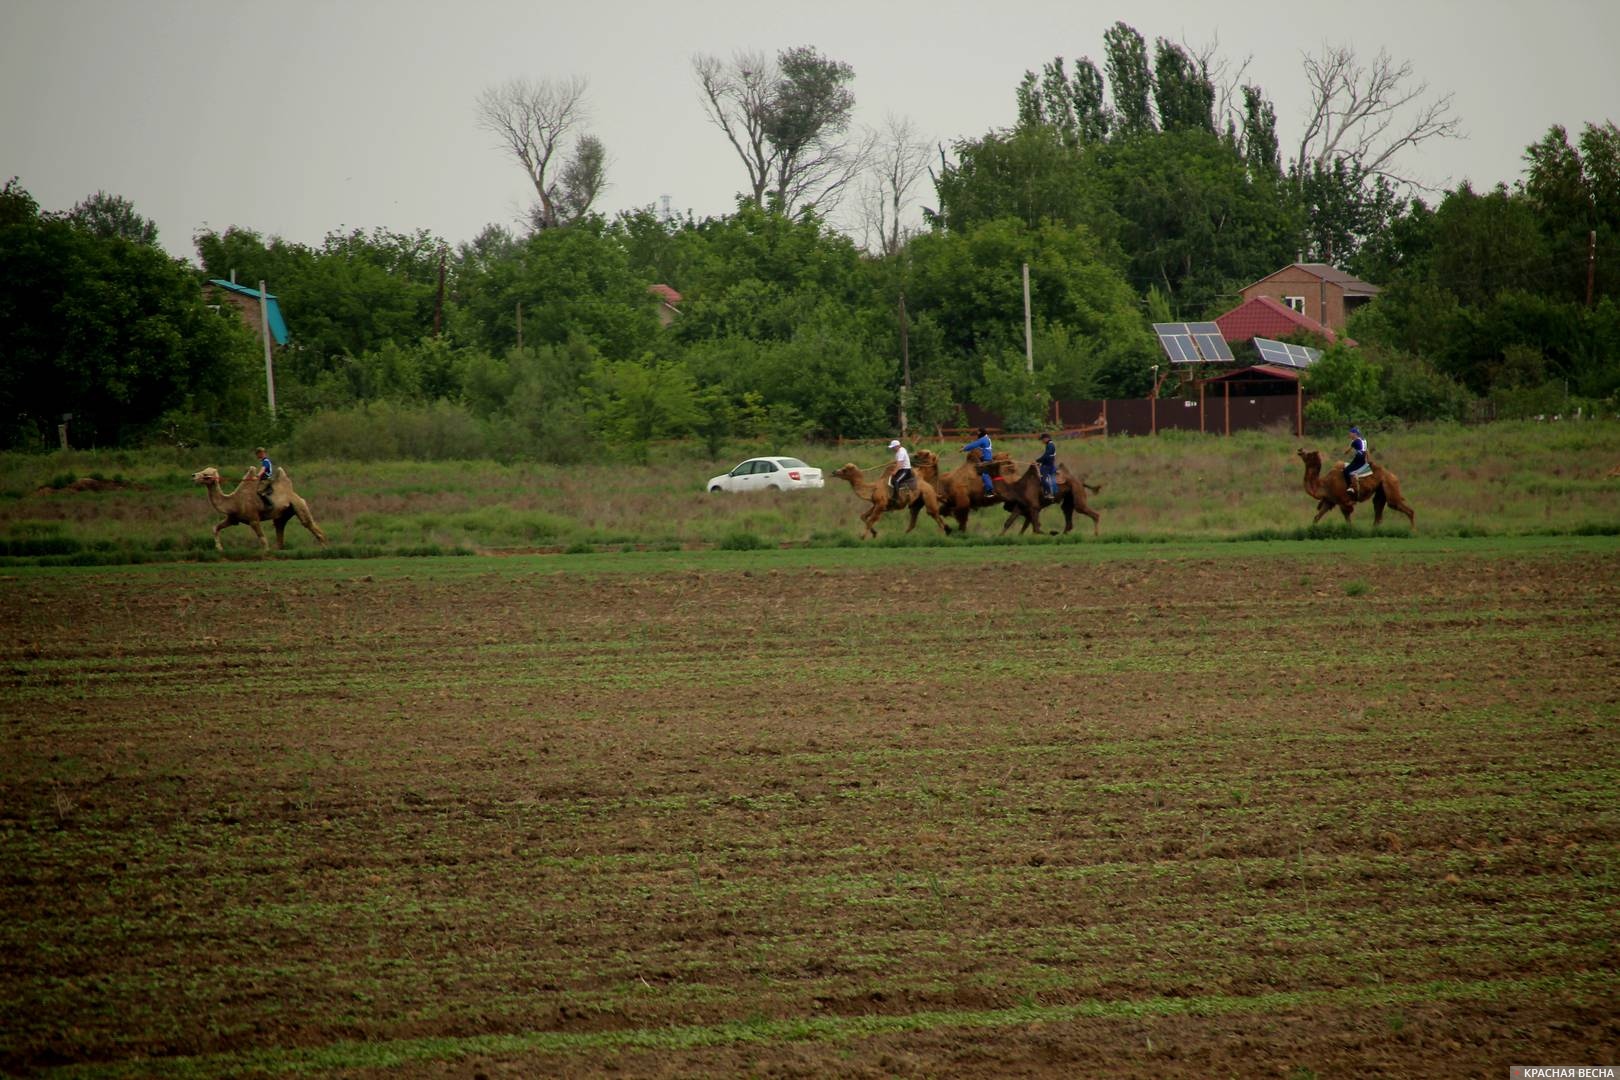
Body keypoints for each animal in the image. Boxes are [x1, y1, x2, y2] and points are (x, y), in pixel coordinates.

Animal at [191, 466, 327, 553]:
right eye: (203, 470)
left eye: (206, 474)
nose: (193, 475)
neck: (234, 501)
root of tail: (294, 494)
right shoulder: (233, 518)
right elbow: (216, 527)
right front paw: (219, 549)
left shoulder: (253, 519)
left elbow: (263, 539)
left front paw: (266, 553)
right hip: (283, 514)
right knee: (280, 526)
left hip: (299, 505)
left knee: (308, 524)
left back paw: (324, 548)